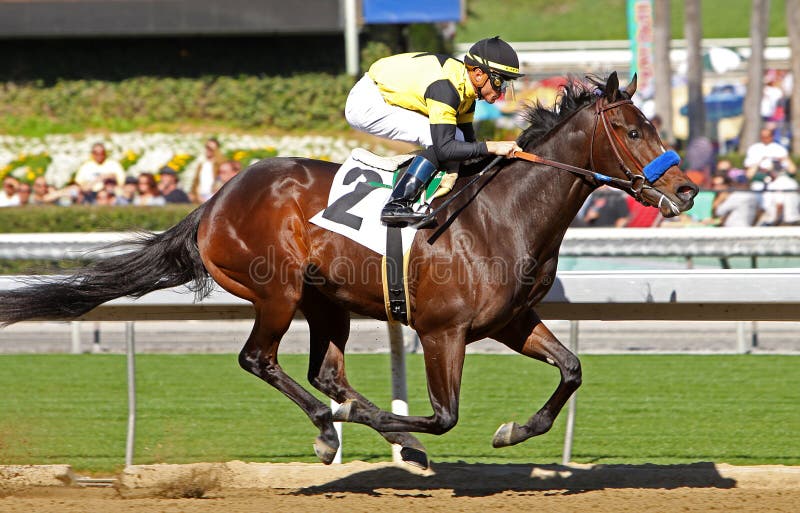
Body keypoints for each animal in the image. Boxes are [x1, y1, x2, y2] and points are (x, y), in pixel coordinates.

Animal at [0, 72, 696, 468]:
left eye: (652, 124)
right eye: (633, 129)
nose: (686, 191)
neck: (500, 215)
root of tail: (216, 198)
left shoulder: (510, 320)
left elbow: (572, 369)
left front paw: (513, 431)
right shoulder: (442, 332)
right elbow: (443, 415)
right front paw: (386, 429)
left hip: (325, 300)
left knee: (325, 372)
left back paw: (359, 430)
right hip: (275, 291)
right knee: (261, 360)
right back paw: (329, 432)